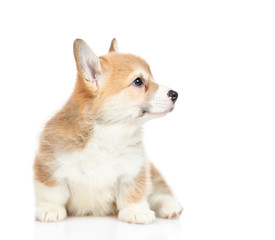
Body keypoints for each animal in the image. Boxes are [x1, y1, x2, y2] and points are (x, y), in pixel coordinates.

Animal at [34, 38, 183, 224]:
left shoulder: (134, 170)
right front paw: (50, 210)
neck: (109, 131)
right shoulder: (49, 167)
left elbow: (133, 192)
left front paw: (136, 211)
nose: (175, 94)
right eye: (138, 81)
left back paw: (170, 206)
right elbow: (52, 193)